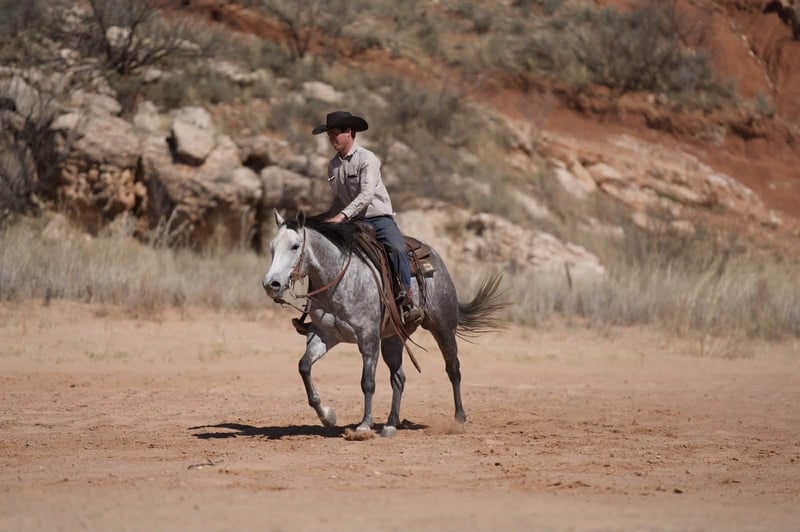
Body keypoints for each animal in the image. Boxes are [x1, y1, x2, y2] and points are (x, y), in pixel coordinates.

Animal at [262, 211, 507, 437]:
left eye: (295, 246)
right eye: (272, 247)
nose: (271, 284)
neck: (338, 279)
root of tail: (436, 259)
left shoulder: (368, 337)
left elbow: (367, 382)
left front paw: (364, 425)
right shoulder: (324, 335)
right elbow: (304, 366)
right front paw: (327, 416)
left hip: (443, 327)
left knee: (453, 368)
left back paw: (458, 417)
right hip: (393, 339)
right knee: (399, 378)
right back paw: (391, 423)